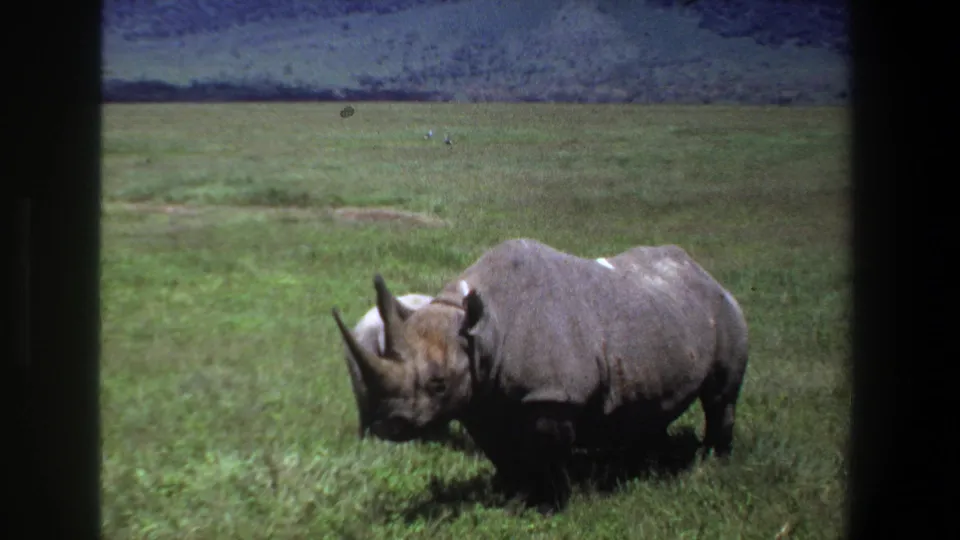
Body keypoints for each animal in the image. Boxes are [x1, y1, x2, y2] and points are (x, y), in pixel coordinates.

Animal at [331, 238, 749, 513]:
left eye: (438, 384)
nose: (388, 425)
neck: (480, 332)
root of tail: (706, 274)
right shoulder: (482, 398)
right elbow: (501, 453)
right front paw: (513, 497)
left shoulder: (553, 396)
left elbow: (550, 455)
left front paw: (552, 506)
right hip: (663, 315)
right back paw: (647, 465)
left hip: (725, 310)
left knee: (719, 398)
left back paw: (712, 463)